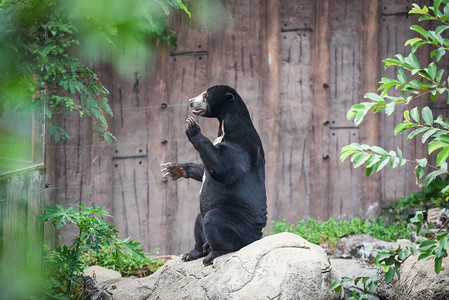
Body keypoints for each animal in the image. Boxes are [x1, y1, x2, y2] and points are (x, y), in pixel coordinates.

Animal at [161, 84, 266, 264]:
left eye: (205, 95)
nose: (190, 101)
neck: (225, 126)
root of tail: (255, 238)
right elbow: (204, 168)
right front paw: (174, 169)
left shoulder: (240, 148)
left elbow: (222, 168)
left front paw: (192, 127)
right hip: (205, 214)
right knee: (198, 221)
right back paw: (194, 252)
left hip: (236, 223)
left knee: (214, 221)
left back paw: (213, 253)